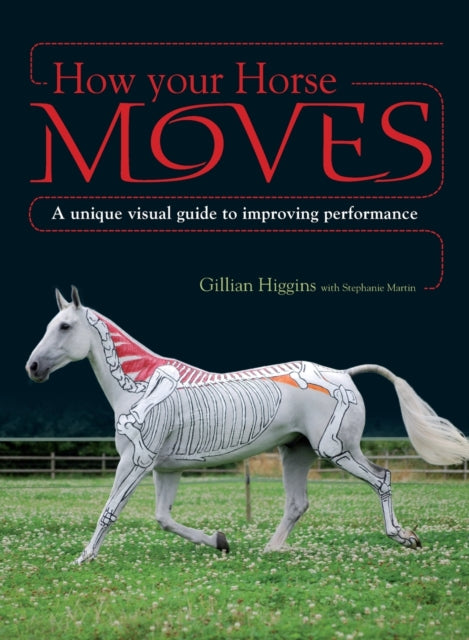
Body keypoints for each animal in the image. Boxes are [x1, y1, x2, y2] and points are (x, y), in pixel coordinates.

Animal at [25, 287, 469, 564]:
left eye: (65, 327)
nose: (33, 367)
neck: (139, 386)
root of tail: (343, 373)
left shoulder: (135, 461)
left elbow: (110, 510)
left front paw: (84, 556)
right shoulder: (164, 468)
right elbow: (164, 519)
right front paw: (220, 542)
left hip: (337, 450)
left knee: (382, 478)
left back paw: (405, 537)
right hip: (296, 452)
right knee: (297, 503)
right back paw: (271, 550)